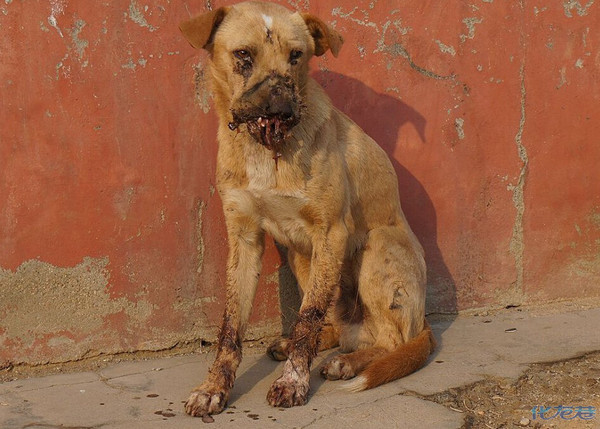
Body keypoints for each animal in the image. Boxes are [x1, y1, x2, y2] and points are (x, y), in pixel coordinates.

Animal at [178, 1, 436, 418]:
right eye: (243, 55)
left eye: (296, 56)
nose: (280, 94)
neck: (268, 148)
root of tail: (423, 322)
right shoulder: (244, 238)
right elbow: (232, 327)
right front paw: (214, 387)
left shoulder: (331, 233)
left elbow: (306, 319)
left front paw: (292, 382)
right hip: (302, 258)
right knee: (334, 327)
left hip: (374, 250)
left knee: (390, 341)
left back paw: (348, 362)